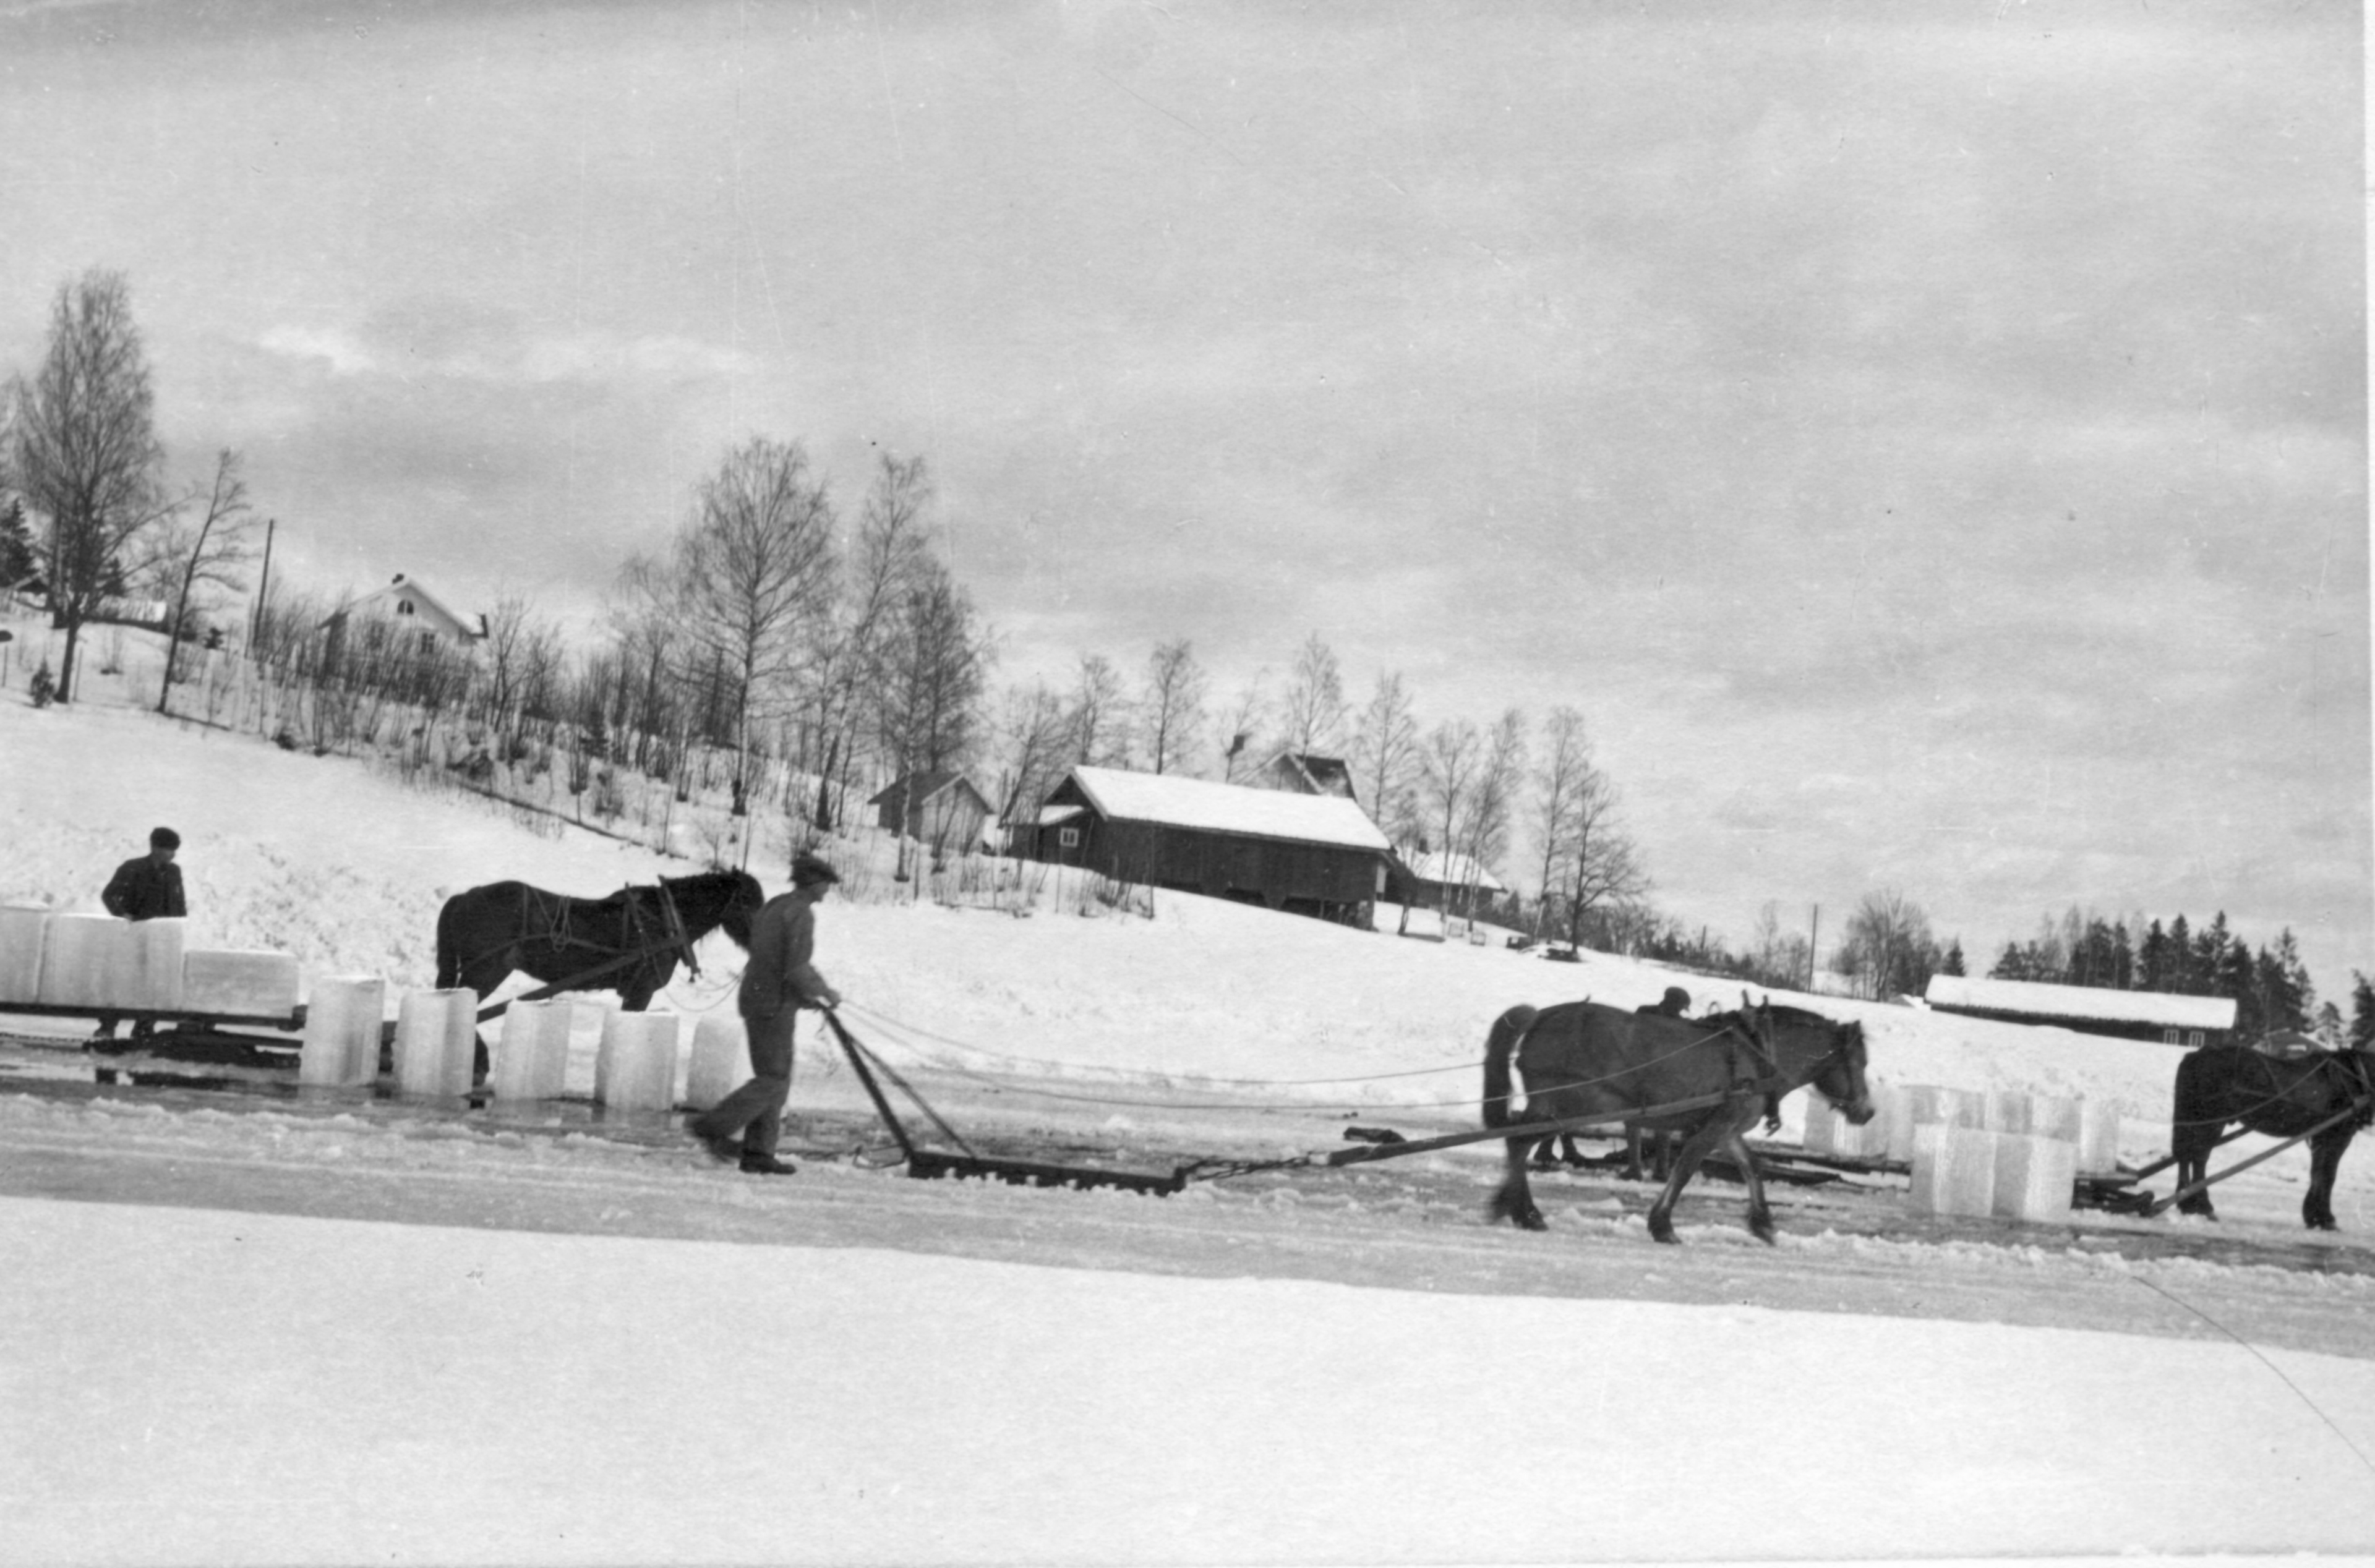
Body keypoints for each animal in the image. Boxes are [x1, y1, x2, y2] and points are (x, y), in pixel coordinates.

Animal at [1482, 997, 1871, 1245]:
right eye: (1860, 1063)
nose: (1867, 1112)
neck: (1759, 1053)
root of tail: (1542, 1016)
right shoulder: (1714, 1128)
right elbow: (1684, 1171)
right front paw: (1663, 1226)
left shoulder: (1727, 1128)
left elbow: (1752, 1167)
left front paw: (1762, 1224)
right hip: (1567, 1107)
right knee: (1518, 1141)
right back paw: (1527, 1213)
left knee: (1515, 1141)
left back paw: (1513, 1206)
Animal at [2175, 1045, 2375, 1235]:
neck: (2355, 1077)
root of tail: (2197, 1055)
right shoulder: (2338, 1135)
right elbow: (2328, 1175)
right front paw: (2326, 1219)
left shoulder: (2322, 1136)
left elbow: (2318, 1173)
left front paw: (2314, 1217)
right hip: (2212, 1121)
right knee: (2199, 1158)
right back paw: (2203, 1207)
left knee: (2185, 1156)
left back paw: (2186, 1203)